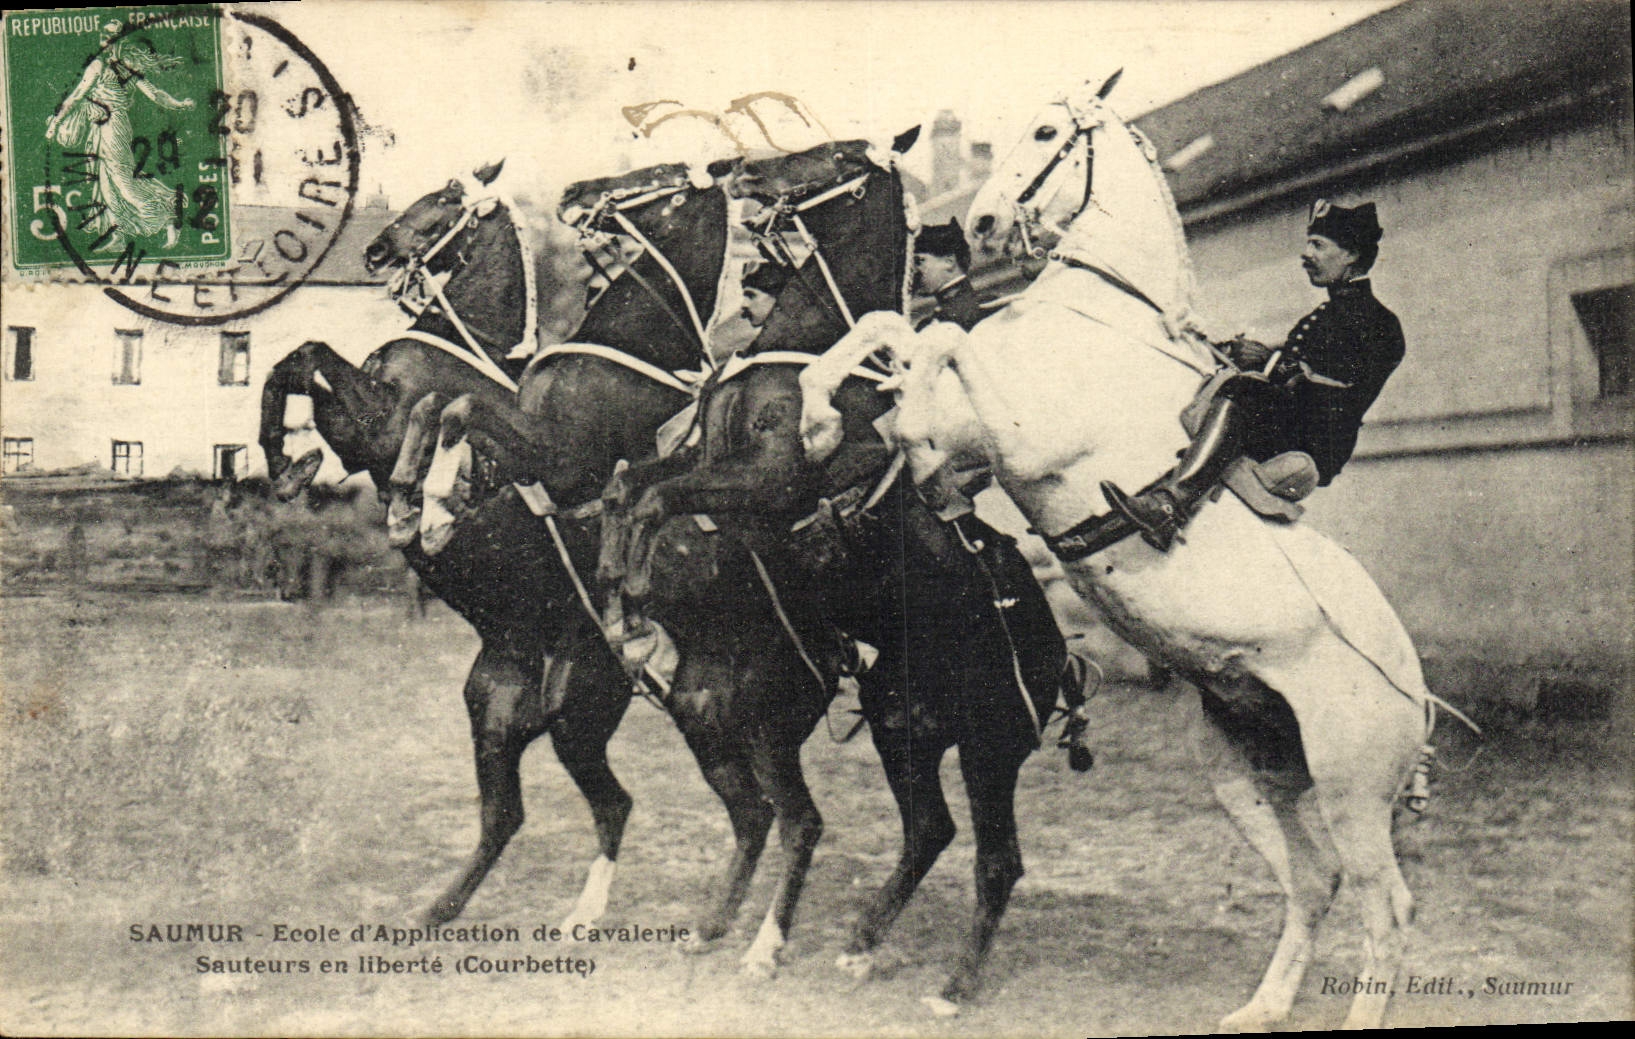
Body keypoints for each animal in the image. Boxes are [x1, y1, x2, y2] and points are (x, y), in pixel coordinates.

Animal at [257, 163, 638, 933]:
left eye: (439, 201)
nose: (376, 251)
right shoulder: (357, 423)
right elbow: (297, 363)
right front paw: (286, 459)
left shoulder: (378, 422)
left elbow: (318, 360)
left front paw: (406, 499)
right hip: (492, 714)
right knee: (505, 816)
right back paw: (434, 912)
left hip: (577, 720)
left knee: (610, 806)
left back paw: (579, 918)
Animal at [603, 133, 1080, 1011]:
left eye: (826, 156)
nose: (743, 171)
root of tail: (1062, 658)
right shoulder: (706, 459)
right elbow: (634, 484)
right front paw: (622, 582)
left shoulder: (770, 479)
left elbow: (660, 492)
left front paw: (636, 590)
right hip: (890, 727)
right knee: (920, 829)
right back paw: (849, 942)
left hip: (985, 745)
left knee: (985, 857)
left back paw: (942, 983)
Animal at [805, 77, 1443, 1032]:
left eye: (1044, 131)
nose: (983, 223)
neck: (1097, 315)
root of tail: (1420, 695)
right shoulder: (975, 433)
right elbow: (891, 330)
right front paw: (821, 416)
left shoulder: (1021, 438)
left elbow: (936, 348)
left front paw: (892, 429)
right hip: (1243, 770)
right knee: (1314, 880)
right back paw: (1258, 1007)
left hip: (1349, 786)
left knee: (1385, 908)